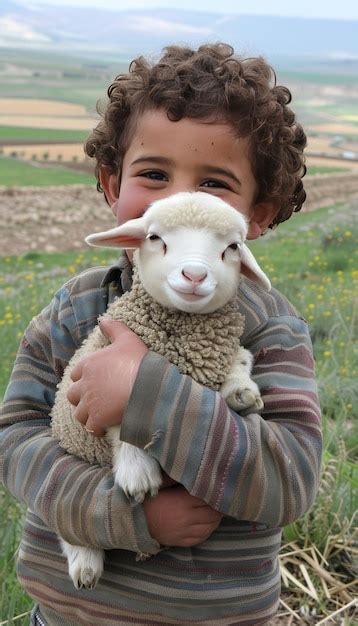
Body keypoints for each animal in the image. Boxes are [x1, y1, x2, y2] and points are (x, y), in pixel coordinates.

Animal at [49, 190, 268, 588]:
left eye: (232, 247)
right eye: (154, 238)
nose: (194, 275)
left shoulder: (227, 348)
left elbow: (242, 358)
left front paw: (240, 390)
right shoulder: (101, 376)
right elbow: (127, 416)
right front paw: (137, 474)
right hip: (74, 447)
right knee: (68, 522)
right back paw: (85, 565)